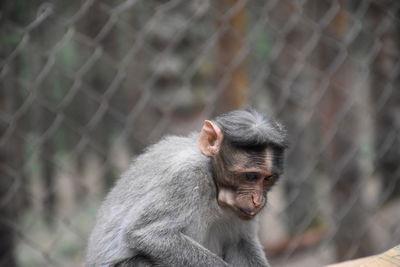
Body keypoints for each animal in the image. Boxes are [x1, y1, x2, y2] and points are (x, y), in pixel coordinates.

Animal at [86, 109, 288, 267]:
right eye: (251, 176)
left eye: (268, 179)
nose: (258, 200)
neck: (212, 178)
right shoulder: (186, 179)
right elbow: (147, 234)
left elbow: (240, 243)